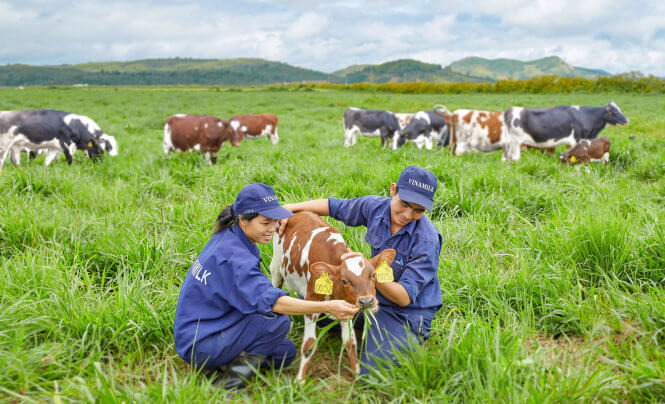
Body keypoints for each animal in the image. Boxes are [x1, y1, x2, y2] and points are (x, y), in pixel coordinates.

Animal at [270, 211, 394, 382]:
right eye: (345, 280)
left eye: (373, 275)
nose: (366, 301)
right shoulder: (311, 302)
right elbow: (309, 345)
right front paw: (300, 381)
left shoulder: (346, 307)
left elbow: (351, 342)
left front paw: (356, 375)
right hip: (276, 268)